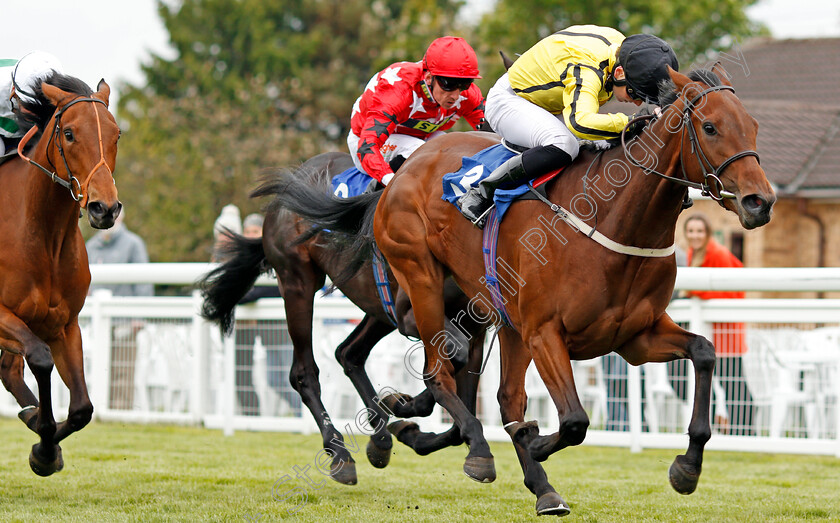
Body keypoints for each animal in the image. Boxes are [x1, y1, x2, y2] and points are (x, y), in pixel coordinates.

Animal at [0, 72, 122, 474]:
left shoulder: (64, 323)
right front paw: (43, 438)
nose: (104, 208)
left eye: (116, 134)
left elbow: (83, 407)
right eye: (68, 133)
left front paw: (46, 447)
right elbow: (39, 357)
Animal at [198, 152, 488, 488]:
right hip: (298, 283)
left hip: (377, 309)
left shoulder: (477, 326)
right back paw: (339, 452)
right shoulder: (411, 313)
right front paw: (406, 408)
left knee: (349, 353)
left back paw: (381, 438)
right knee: (304, 372)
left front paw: (409, 423)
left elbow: (460, 403)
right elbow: (451, 361)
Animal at [288, 65, 776, 516]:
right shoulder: (545, 333)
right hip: (415, 279)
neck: (613, 219)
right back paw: (466, 450)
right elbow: (574, 420)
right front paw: (532, 441)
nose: (760, 202)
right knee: (434, 371)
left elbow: (705, 352)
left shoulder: (635, 337)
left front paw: (686, 468)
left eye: (753, 125)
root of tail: (405, 168)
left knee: (486, 388)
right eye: (710, 127)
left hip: (495, 317)